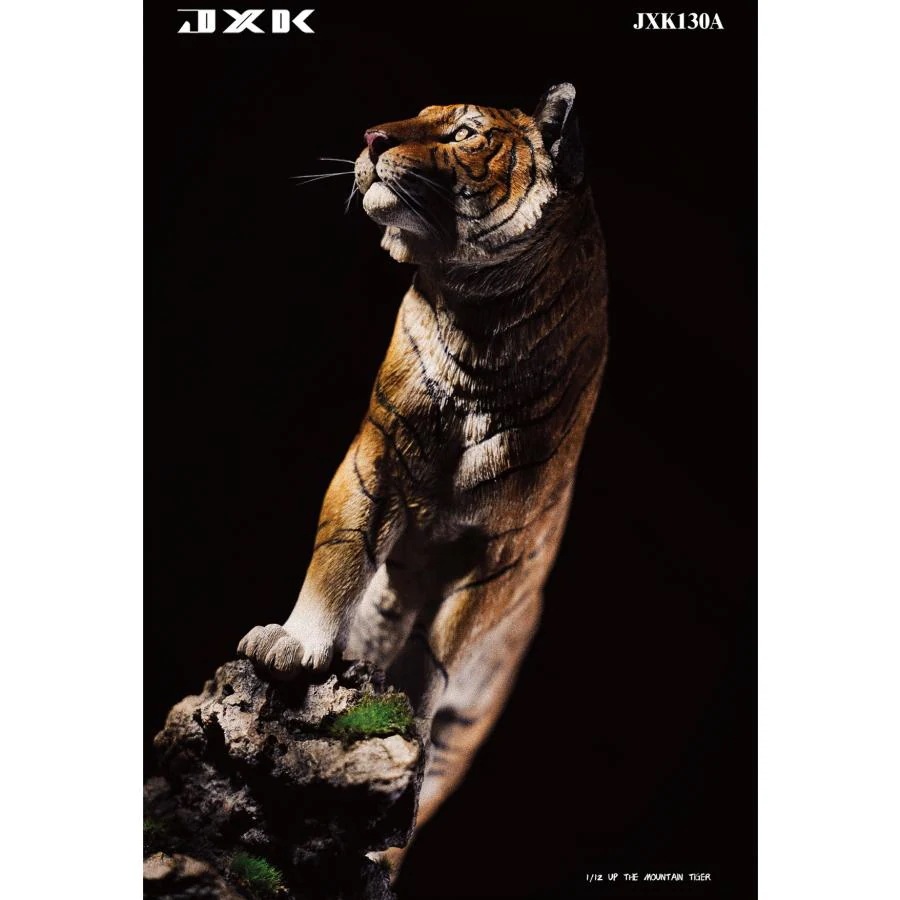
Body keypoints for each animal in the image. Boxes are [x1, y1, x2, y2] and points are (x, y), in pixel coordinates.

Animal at [238, 82, 609, 870]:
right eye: (418, 115)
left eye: (465, 133)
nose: (372, 137)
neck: (482, 321)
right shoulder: (373, 459)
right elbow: (340, 558)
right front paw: (292, 645)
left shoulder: (498, 546)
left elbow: (443, 640)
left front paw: (406, 710)